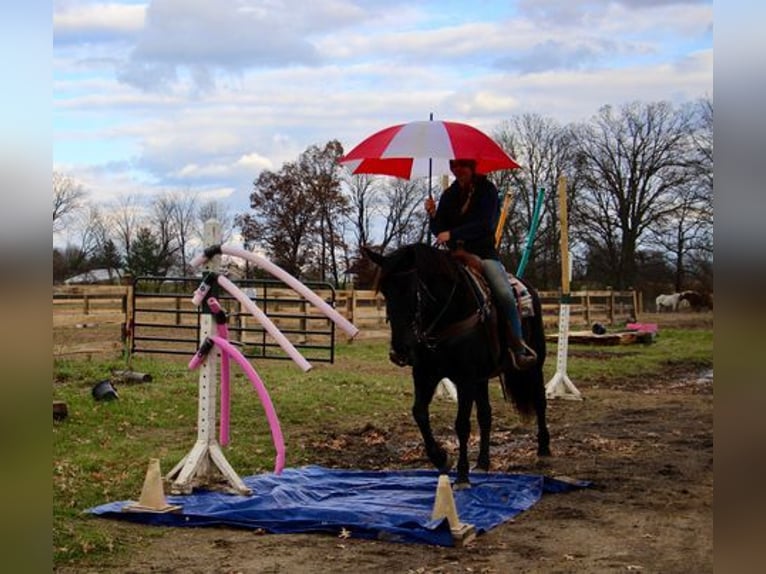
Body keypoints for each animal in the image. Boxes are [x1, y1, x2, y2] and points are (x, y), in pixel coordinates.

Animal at [366, 244, 552, 490]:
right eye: (385, 291)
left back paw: (544, 449)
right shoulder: (425, 374)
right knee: (485, 415)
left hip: (534, 364)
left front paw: (462, 475)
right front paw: (441, 458)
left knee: (539, 401)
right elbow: (419, 413)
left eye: (413, 290)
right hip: (482, 378)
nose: (400, 351)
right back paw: (482, 462)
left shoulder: (465, 379)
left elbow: (462, 424)